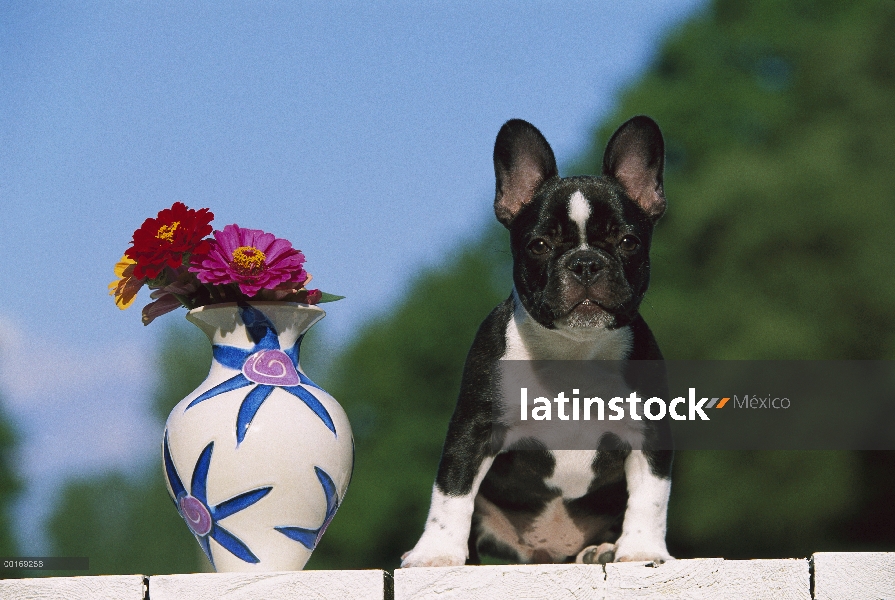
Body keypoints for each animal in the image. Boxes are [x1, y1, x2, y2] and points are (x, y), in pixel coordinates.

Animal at [400, 116, 672, 568]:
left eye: (628, 242)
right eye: (539, 245)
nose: (585, 262)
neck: (573, 351)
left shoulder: (649, 431)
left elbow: (650, 496)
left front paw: (642, 551)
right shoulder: (474, 427)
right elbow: (452, 493)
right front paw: (436, 553)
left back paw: (603, 550)